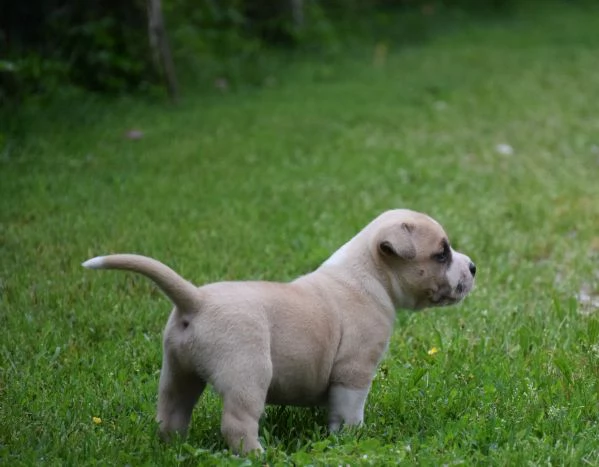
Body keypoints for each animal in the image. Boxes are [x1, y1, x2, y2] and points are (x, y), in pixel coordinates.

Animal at [83, 210, 478, 456]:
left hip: (177, 372)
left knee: (171, 413)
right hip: (247, 374)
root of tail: (196, 300)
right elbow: (349, 409)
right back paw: (258, 454)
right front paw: (351, 437)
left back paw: (173, 448)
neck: (367, 275)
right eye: (441, 254)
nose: (473, 266)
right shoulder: (354, 370)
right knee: (237, 424)